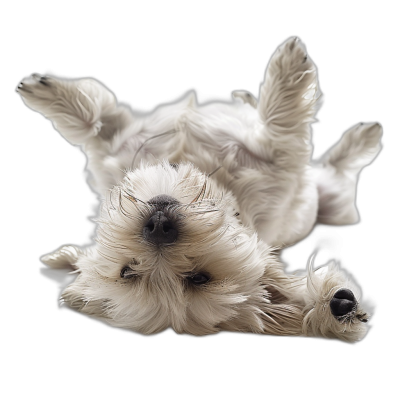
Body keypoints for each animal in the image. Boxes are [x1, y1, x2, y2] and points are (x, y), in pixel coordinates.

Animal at [18, 37, 382, 342]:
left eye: (199, 278)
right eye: (128, 271)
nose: (158, 225)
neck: (186, 168)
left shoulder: (115, 141)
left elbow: (90, 119)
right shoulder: (115, 143)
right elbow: (92, 119)